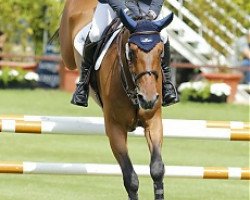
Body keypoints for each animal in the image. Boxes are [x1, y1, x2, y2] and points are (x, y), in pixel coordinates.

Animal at [59, 1, 174, 198]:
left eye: (161, 52)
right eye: (132, 52)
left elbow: (157, 169)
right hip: (67, 54)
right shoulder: (115, 128)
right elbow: (130, 178)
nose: (148, 99)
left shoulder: (153, 122)